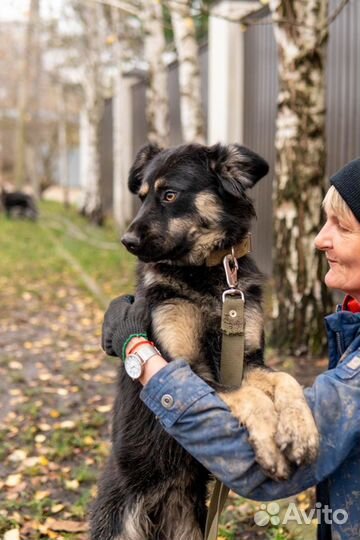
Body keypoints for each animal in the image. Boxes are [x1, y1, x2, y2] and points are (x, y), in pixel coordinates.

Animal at [91, 143, 320, 540]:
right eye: (142, 196)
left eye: (169, 195)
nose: (127, 242)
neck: (207, 274)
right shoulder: (188, 368)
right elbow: (249, 397)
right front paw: (270, 446)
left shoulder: (249, 360)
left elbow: (285, 379)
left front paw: (299, 430)